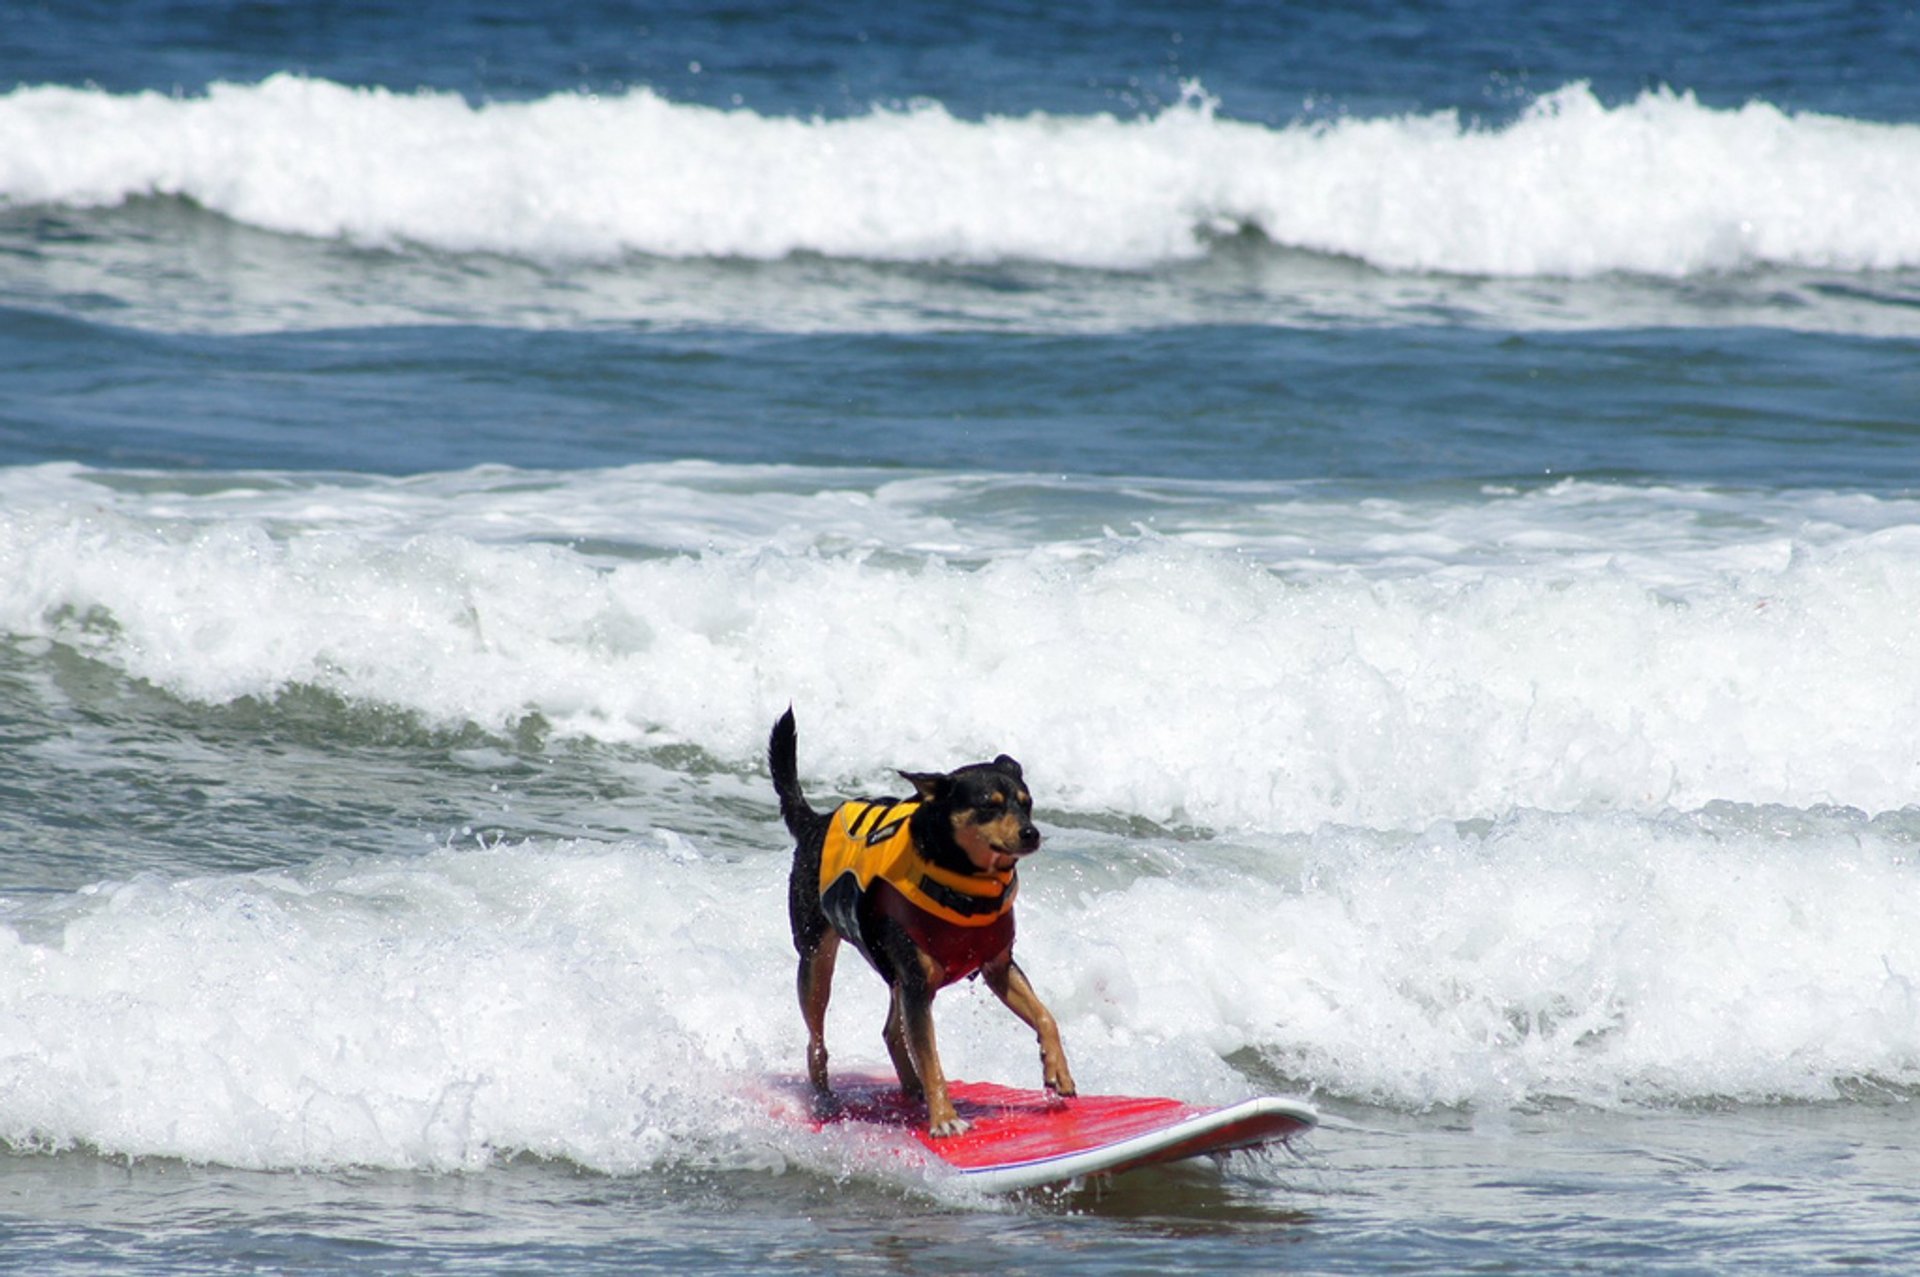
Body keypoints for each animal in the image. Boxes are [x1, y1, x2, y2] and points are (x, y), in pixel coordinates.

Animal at [768, 706, 1082, 1136]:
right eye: (989, 805)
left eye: (1027, 803)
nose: (1031, 833)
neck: (963, 879)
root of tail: (815, 822)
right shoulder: (918, 985)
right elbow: (931, 1058)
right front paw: (945, 1118)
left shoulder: (997, 967)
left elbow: (1045, 1016)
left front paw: (1057, 1070)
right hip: (817, 960)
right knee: (816, 1038)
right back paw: (825, 1099)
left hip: (895, 974)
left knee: (890, 1031)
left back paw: (911, 1089)